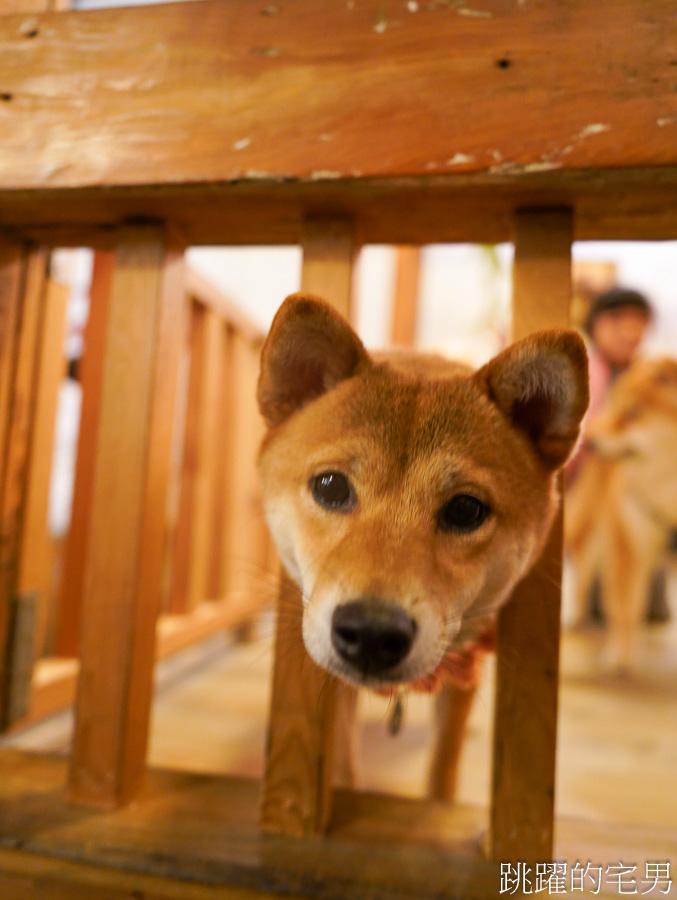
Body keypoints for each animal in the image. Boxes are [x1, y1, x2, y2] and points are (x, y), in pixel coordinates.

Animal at [258, 296, 588, 796]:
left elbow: (442, 765)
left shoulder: (464, 662)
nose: (372, 632)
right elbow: (341, 762)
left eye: (466, 510)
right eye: (330, 486)